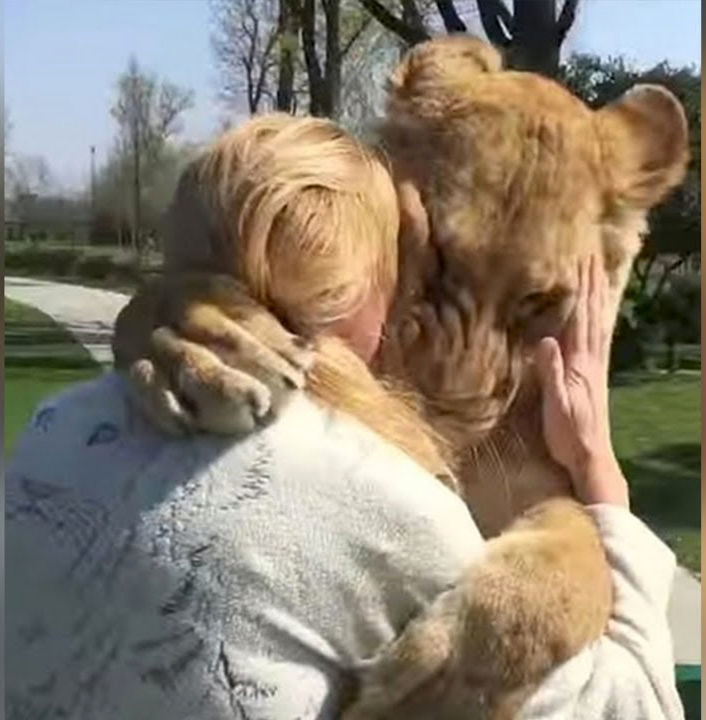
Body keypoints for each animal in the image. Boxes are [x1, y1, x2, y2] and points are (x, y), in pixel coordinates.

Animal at [113, 38, 684, 720]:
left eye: (540, 301)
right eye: (434, 250)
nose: (448, 404)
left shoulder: (547, 482)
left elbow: (585, 552)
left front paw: (434, 689)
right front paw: (213, 340)